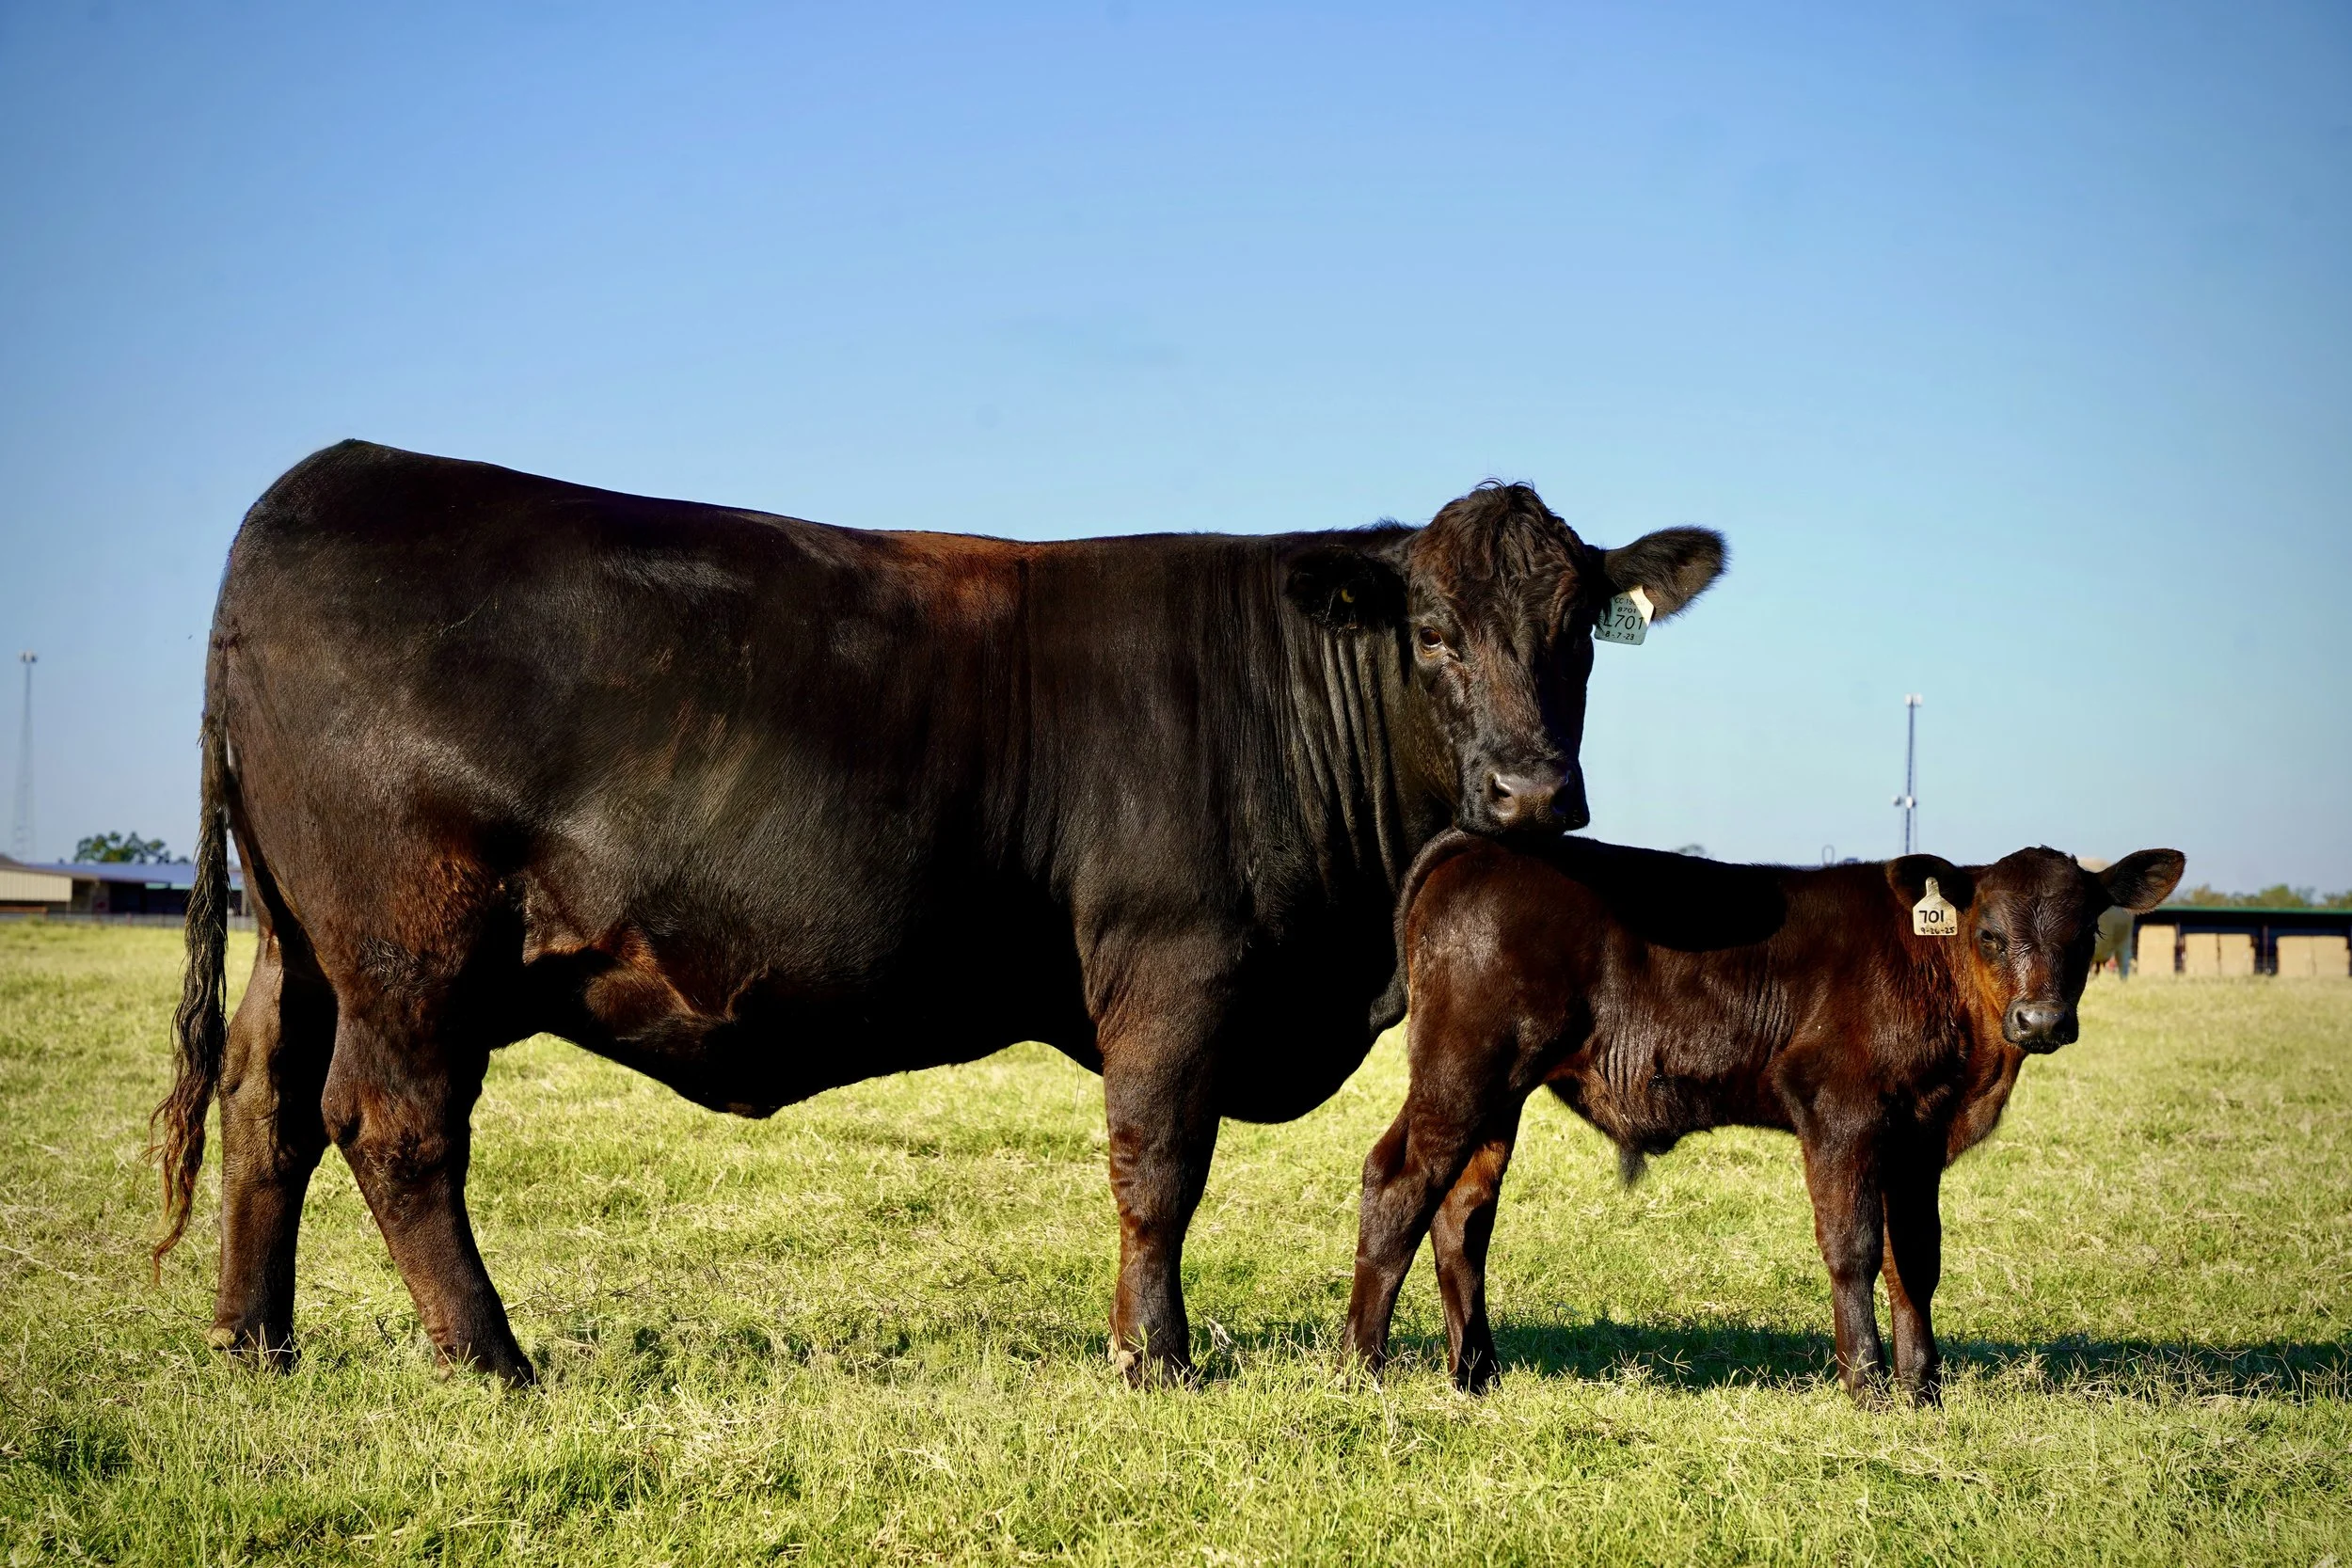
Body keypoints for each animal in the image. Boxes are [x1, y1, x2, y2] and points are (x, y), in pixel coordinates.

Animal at [152, 441, 1727, 1385]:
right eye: (1433, 634)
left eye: (1581, 632)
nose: (1533, 790)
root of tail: (330, 476)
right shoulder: (1177, 968)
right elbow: (1160, 1165)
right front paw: (1156, 1354)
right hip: (413, 941)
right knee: (394, 1125)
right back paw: (492, 1357)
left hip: (302, 938)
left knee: (266, 1100)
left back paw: (253, 1339)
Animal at [1343, 832, 2184, 1402]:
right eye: (1990, 933)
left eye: (2086, 932)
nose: (2040, 1020)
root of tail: (1483, 845)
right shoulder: (1839, 1108)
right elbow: (1854, 1248)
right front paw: (1868, 1385)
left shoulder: (1918, 1135)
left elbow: (1917, 1259)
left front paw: (1925, 1388)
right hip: (1463, 1067)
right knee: (1397, 1181)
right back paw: (1361, 1366)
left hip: (1499, 1091)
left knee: (1462, 1211)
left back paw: (1476, 1373)